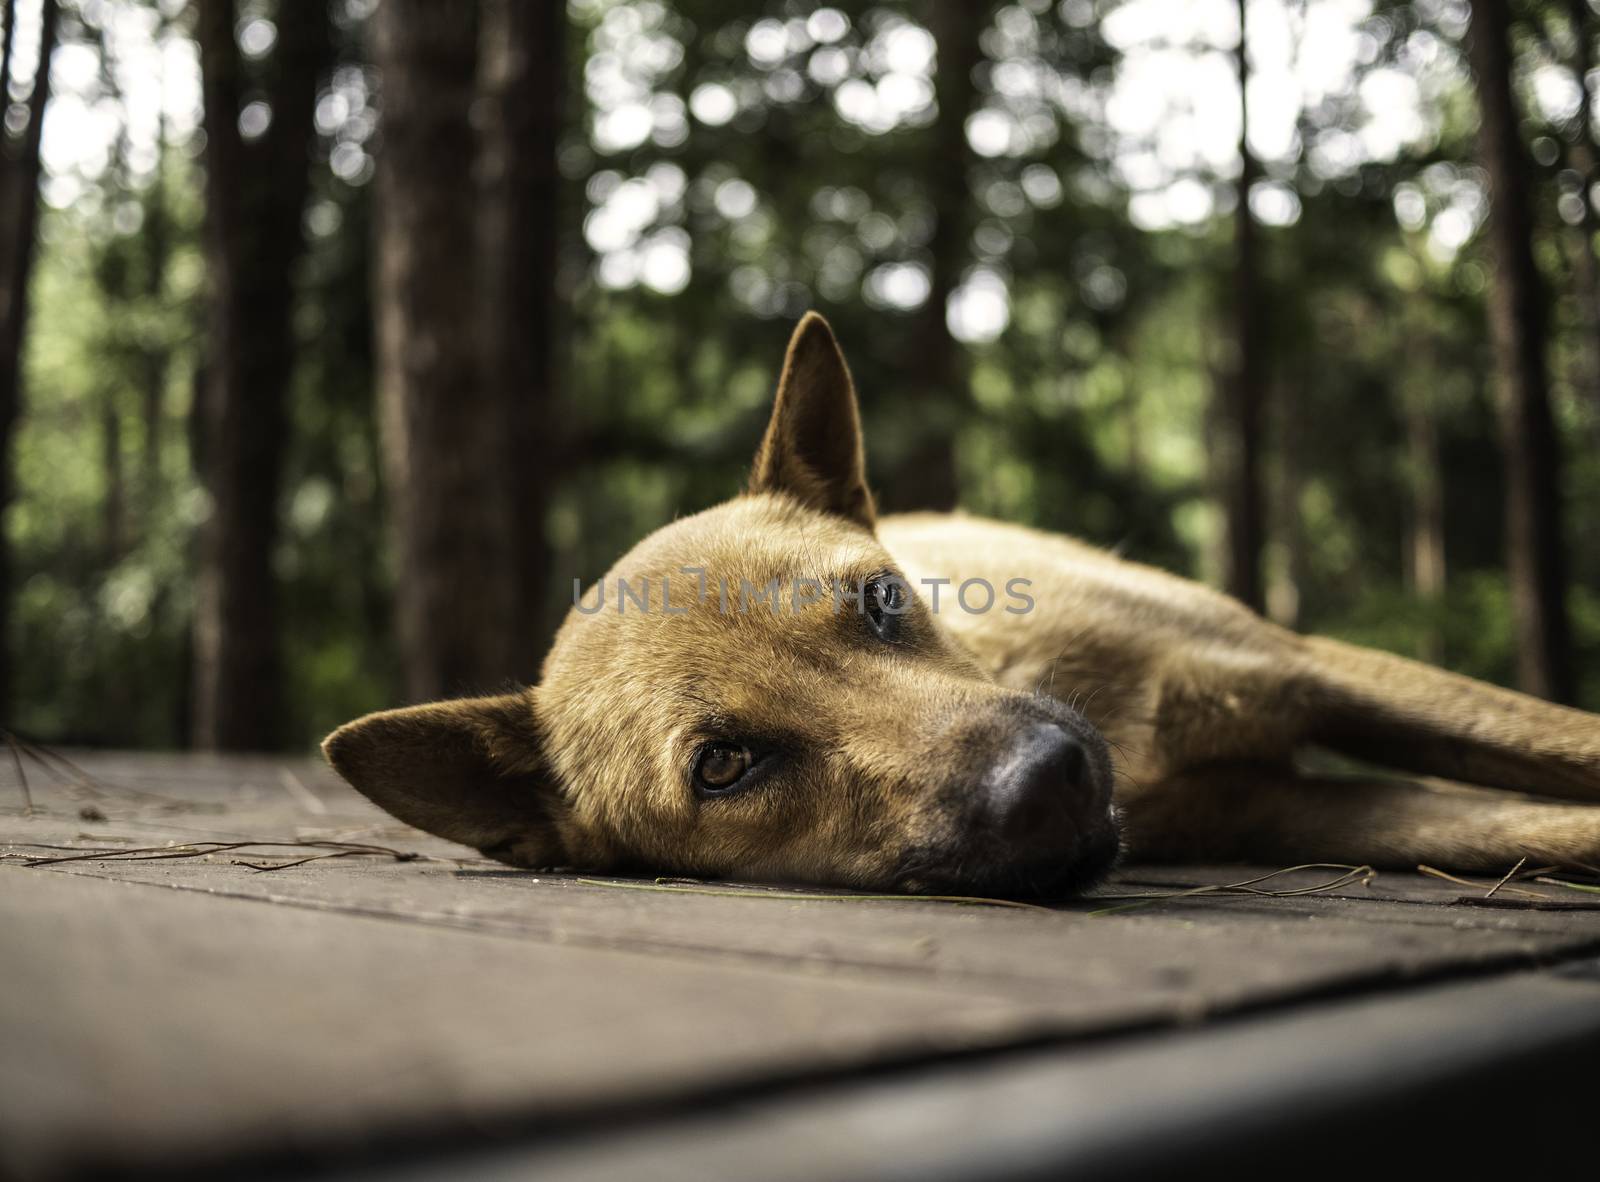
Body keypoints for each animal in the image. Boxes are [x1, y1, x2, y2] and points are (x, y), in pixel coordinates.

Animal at [324, 315, 1600, 895]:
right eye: (725, 766)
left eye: (883, 602)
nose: (1055, 780)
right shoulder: (1284, 811)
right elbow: (1544, 821)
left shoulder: (1308, 667)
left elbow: (1567, 747)